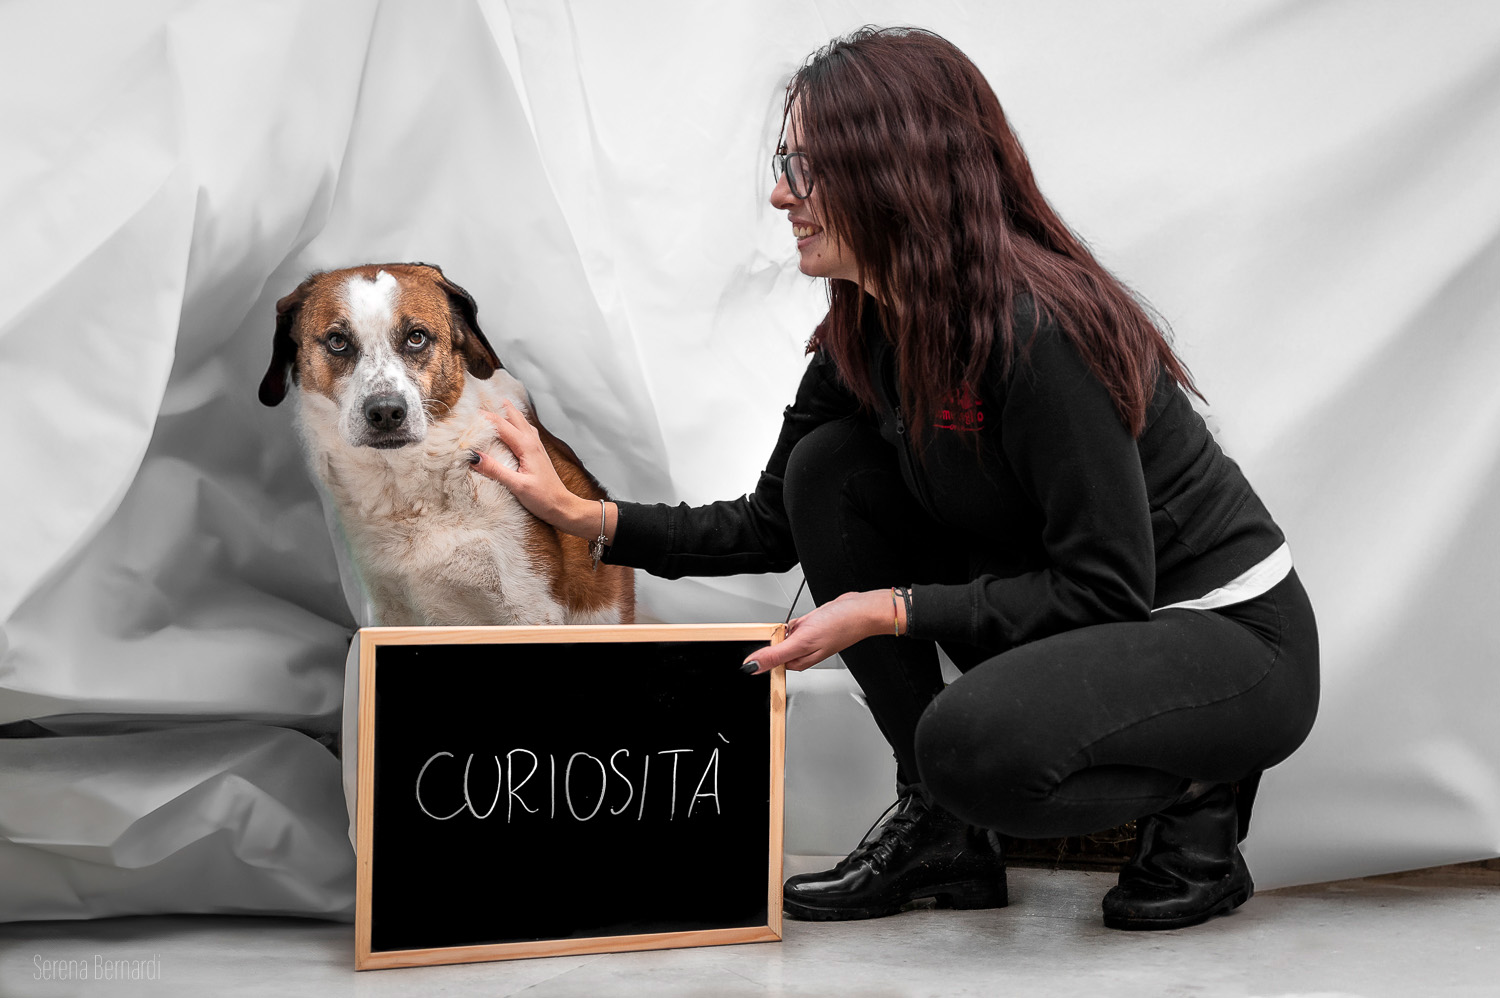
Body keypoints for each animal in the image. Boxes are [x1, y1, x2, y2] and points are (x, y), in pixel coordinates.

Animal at [258, 262, 634, 626]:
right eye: (337, 341)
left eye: (416, 337)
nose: (386, 412)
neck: (409, 490)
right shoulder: (387, 612)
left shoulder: (529, 607)